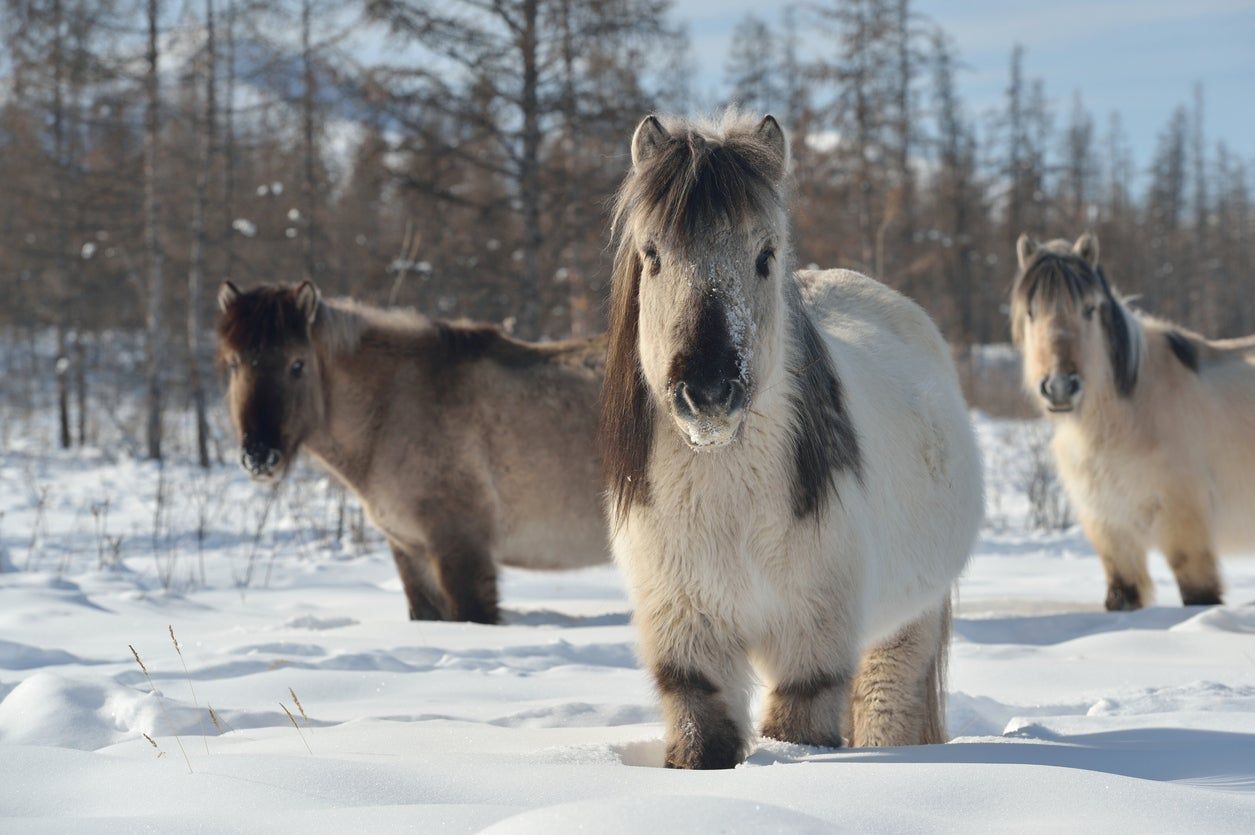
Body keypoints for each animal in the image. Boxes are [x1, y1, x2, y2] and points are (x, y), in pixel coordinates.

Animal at [216, 281, 609, 623]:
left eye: (297, 364)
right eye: (234, 363)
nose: (259, 456)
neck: (390, 410)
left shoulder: (462, 550)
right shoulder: (411, 551)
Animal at [600, 111, 984, 769]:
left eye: (765, 255)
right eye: (652, 255)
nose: (707, 392)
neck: (730, 510)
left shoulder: (813, 644)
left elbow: (797, 730)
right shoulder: (689, 643)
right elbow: (702, 743)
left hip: (904, 628)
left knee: (886, 708)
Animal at [1011, 233, 1255, 610]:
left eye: (1089, 309)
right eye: (1030, 312)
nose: (1061, 386)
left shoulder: (1187, 534)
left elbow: (1200, 596)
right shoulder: (1114, 535)